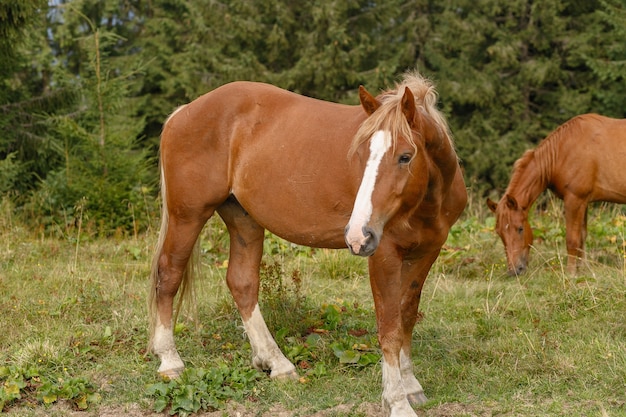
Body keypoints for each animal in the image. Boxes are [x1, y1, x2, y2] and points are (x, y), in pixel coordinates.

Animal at [149, 70, 466, 414]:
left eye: (405, 157)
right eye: (360, 155)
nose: (358, 234)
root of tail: (184, 112)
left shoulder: (427, 252)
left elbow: (407, 316)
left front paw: (410, 387)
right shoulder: (384, 254)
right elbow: (390, 327)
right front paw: (396, 401)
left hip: (243, 219)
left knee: (242, 283)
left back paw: (276, 363)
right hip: (187, 216)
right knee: (169, 276)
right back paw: (170, 362)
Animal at [486, 114, 624, 276]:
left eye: (520, 228)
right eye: (499, 232)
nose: (514, 270)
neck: (562, 151)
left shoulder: (574, 200)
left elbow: (572, 240)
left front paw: (571, 274)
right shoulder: (583, 202)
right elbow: (582, 237)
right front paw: (583, 270)